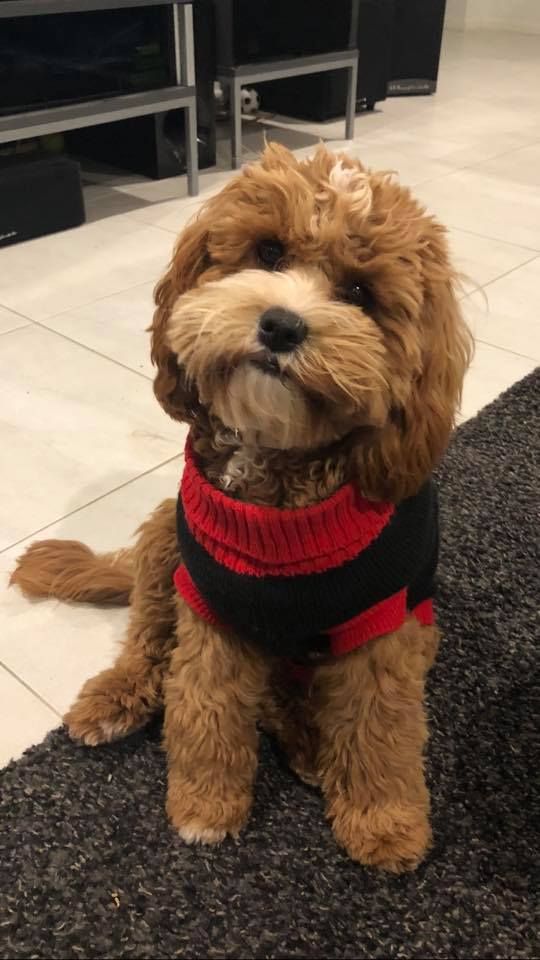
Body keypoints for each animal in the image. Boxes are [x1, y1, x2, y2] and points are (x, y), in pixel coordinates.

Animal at [10, 146, 470, 872]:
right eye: (268, 251)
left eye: (360, 293)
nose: (281, 325)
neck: (279, 477)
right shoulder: (213, 606)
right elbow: (206, 703)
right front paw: (206, 804)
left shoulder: (382, 625)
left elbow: (381, 725)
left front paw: (385, 819)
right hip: (164, 547)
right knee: (149, 645)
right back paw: (117, 697)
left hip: (416, 629)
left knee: (292, 694)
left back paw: (309, 745)